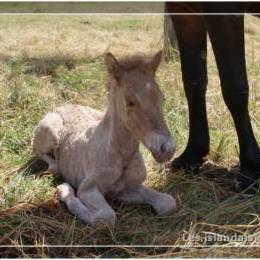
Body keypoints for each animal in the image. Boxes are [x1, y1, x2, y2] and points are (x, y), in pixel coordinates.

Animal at [32, 50, 177, 225]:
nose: (167, 148)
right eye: (130, 102)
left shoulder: (128, 188)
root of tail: (66, 105)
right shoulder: (87, 189)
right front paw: (64, 190)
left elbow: (168, 202)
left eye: (162, 98)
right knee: (39, 152)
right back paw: (55, 167)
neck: (121, 155)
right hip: (49, 132)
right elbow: (106, 218)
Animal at [167, 2, 260, 190]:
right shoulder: (184, 13)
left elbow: (234, 90)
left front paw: (251, 169)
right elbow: (193, 83)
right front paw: (192, 155)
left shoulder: (224, 12)